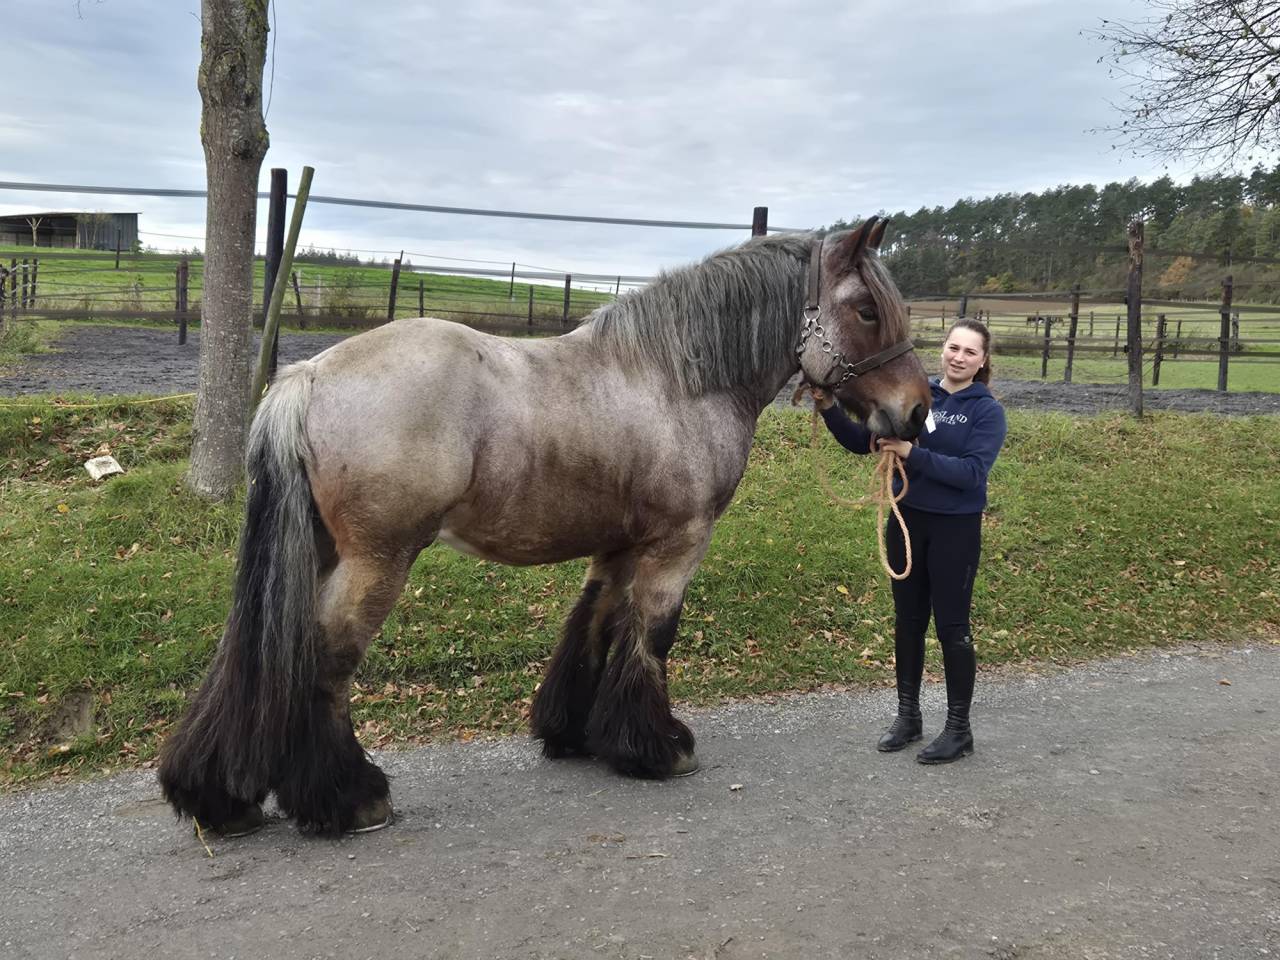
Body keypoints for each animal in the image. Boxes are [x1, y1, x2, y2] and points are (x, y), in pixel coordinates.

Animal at [158, 217, 932, 837]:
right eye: (866, 309)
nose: (918, 411)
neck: (677, 379)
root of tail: (306, 377)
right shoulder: (676, 545)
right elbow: (652, 635)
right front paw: (658, 747)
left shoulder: (618, 546)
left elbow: (593, 624)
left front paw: (577, 734)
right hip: (377, 562)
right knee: (324, 660)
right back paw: (349, 798)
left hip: (312, 555)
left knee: (253, 650)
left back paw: (217, 796)